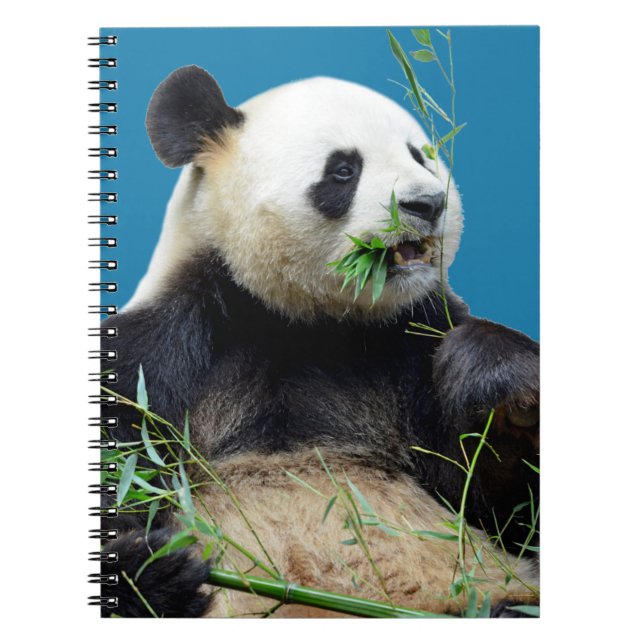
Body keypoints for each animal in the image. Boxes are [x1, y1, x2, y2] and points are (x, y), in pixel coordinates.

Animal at [100, 65, 540, 618]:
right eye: (344, 170)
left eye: (420, 156)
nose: (428, 203)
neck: (304, 323)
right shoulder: (163, 353)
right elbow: (122, 475)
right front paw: (150, 570)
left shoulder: (412, 345)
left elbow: (502, 510)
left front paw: (503, 387)